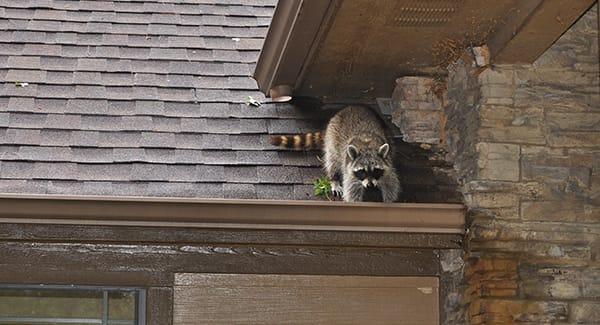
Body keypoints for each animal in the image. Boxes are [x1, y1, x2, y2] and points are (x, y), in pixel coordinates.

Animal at [270, 105, 400, 201]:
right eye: (362, 171)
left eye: (376, 170)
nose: (370, 185)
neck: (367, 146)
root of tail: (348, 108)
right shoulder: (349, 169)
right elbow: (351, 191)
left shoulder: (388, 166)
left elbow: (391, 184)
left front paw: (389, 201)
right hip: (332, 139)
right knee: (332, 161)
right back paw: (334, 179)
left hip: (387, 133)